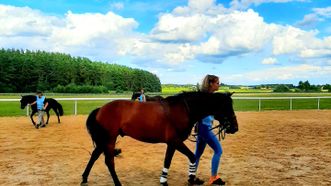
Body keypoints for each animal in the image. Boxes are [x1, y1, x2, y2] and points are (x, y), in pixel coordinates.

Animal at [82, 92, 240, 186]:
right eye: (227, 106)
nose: (234, 127)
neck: (183, 110)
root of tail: (101, 109)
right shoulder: (175, 142)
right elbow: (188, 157)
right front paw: (185, 179)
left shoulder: (172, 143)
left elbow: (174, 160)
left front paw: (185, 179)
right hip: (109, 139)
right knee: (109, 161)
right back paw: (117, 183)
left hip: (104, 140)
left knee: (95, 156)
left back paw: (84, 178)